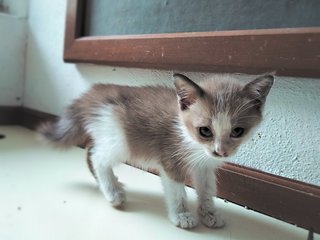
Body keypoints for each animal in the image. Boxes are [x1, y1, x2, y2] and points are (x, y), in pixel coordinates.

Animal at [38, 72, 274, 229]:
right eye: (205, 131)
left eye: (238, 131)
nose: (220, 152)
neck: (187, 135)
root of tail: (95, 91)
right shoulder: (171, 160)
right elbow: (177, 190)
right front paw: (182, 215)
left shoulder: (204, 166)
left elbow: (207, 189)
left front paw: (208, 213)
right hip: (120, 141)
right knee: (97, 157)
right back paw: (113, 192)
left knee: (90, 151)